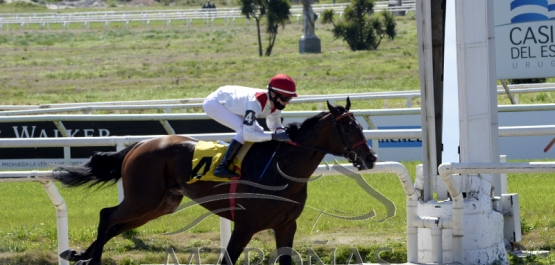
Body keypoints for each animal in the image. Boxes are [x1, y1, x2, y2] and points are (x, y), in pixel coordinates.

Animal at [51, 97, 378, 264]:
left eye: (360, 126)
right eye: (348, 128)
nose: (371, 157)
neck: (281, 169)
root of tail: (139, 145)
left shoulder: (286, 225)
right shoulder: (245, 225)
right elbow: (227, 260)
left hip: (159, 205)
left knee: (115, 225)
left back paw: (78, 254)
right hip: (142, 199)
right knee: (108, 216)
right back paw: (90, 259)